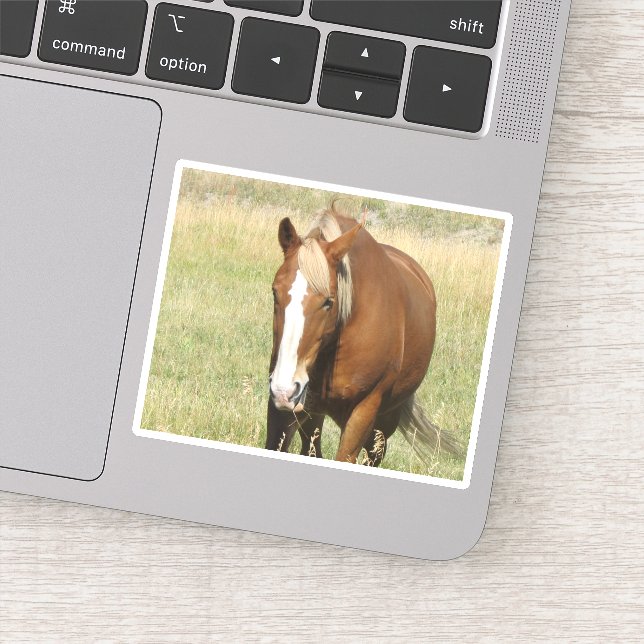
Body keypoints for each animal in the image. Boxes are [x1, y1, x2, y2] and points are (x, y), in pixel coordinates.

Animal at [265, 207, 460, 467]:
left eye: (328, 301)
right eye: (275, 292)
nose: (285, 389)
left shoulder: (364, 411)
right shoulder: (283, 409)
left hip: (384, 422)